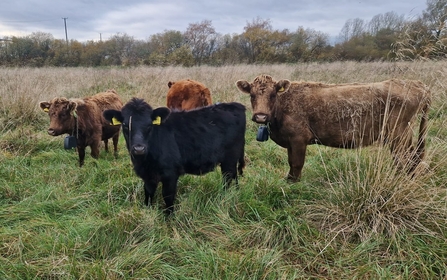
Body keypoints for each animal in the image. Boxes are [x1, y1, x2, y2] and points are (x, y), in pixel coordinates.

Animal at [103, 97, 247, 213]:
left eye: (149, 125)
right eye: (125, 125)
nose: (139, 148)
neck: (145, 161)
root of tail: (236, 106)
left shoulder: (170, 174)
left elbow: (168, 197)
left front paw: (169, 219)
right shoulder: (147, 176)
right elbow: (148, 194)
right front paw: (148, 212)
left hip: (230, 158)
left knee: (227, 178)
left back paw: (223, 197)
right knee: (233, 176)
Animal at [236, 74, 432, 182]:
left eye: (273, 94)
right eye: (252, 95)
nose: (261, 116)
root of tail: (418, 85)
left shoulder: (299, 139)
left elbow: (296, 164)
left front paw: (293, 185)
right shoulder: (291, 142)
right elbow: (291, 164)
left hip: (398, 134)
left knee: (406, 160)